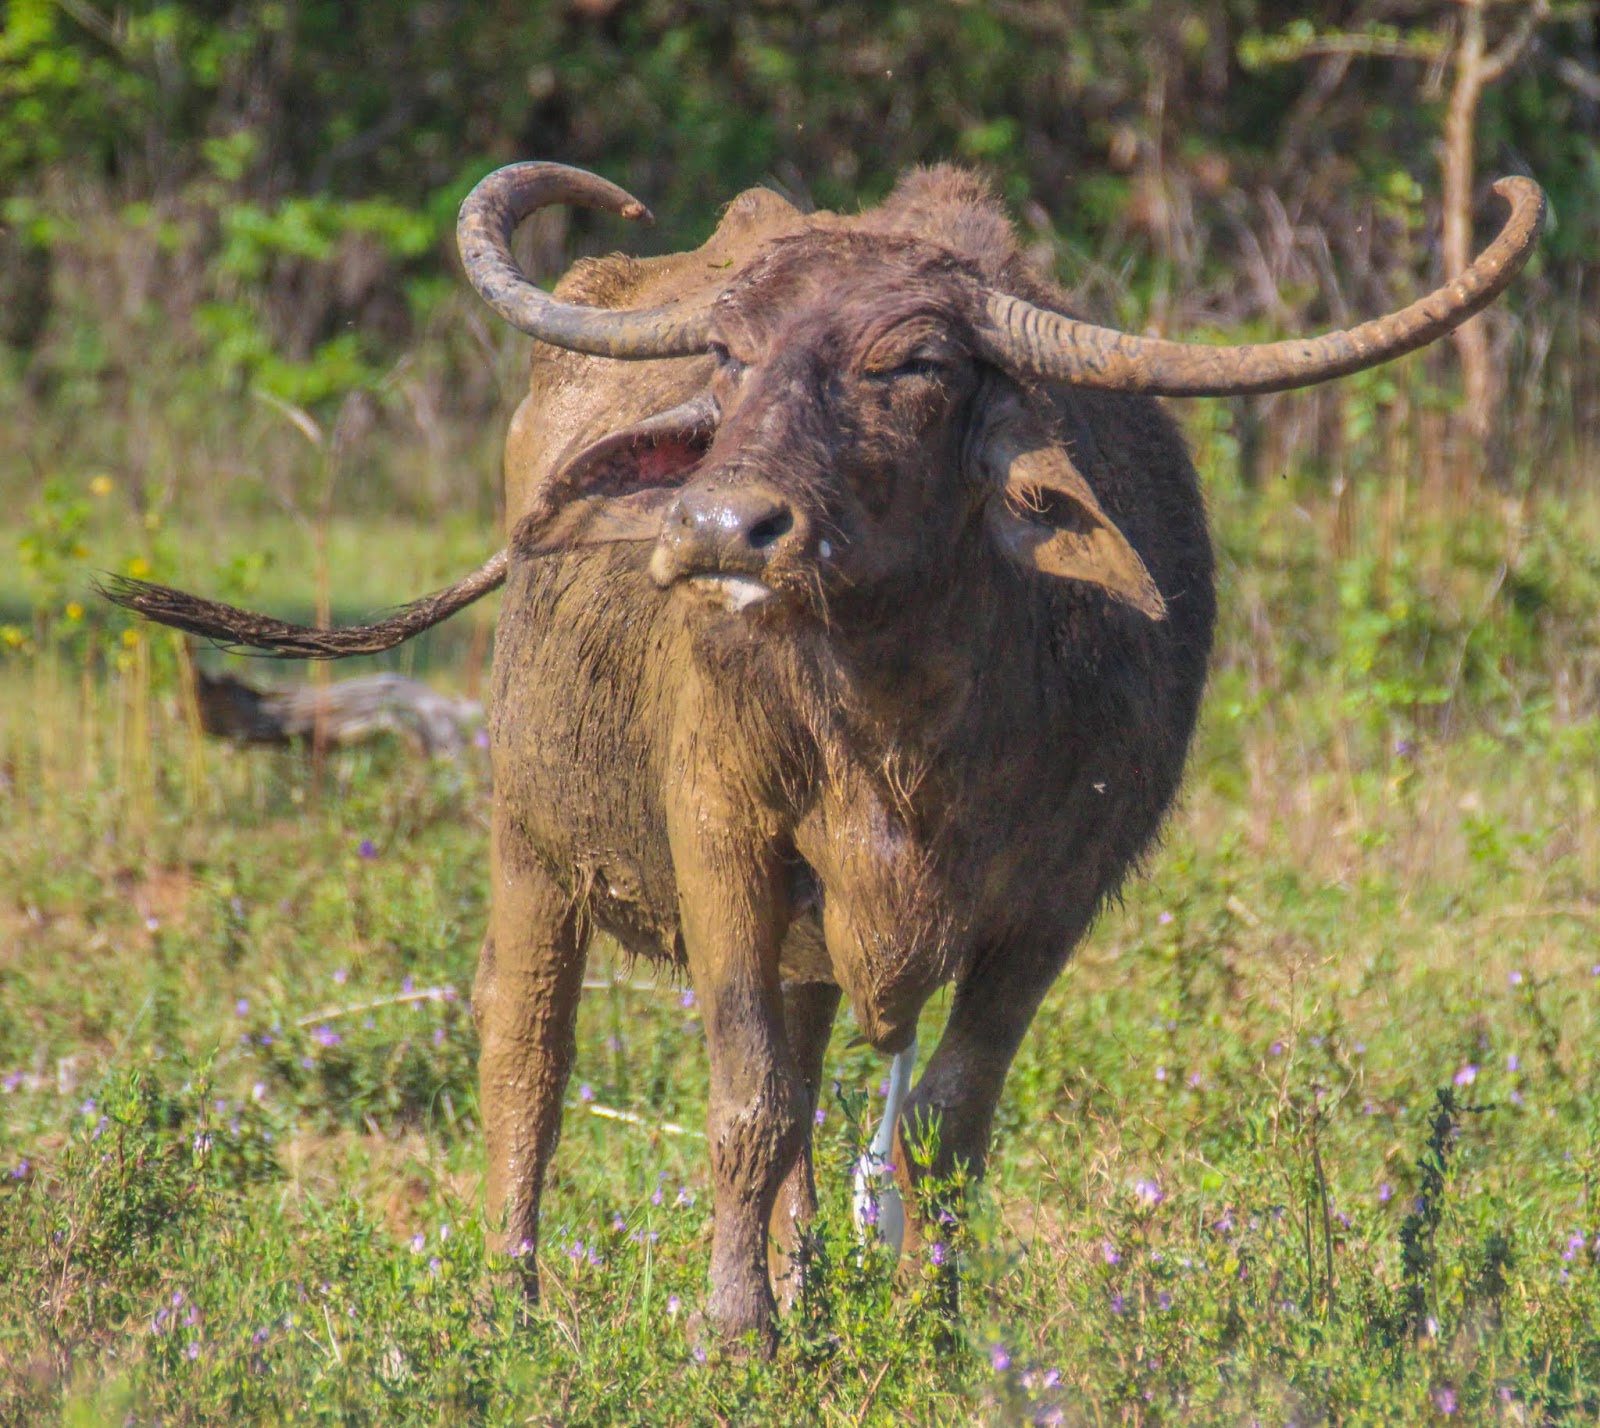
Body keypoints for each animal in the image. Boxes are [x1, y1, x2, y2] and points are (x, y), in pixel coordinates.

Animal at [105, 160, 1543, 1348]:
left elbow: (943, 1125)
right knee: (527, 1054)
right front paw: (732, 1333)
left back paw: (809, 1288)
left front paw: (926, 1328)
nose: (718, 528)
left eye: (913, 365)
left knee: (800, 1068)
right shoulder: (723, 835)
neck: (897, 720)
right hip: (531, 839)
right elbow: (745, 1101)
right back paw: (509, 1303)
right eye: (730, 356)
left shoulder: (1052, 902)